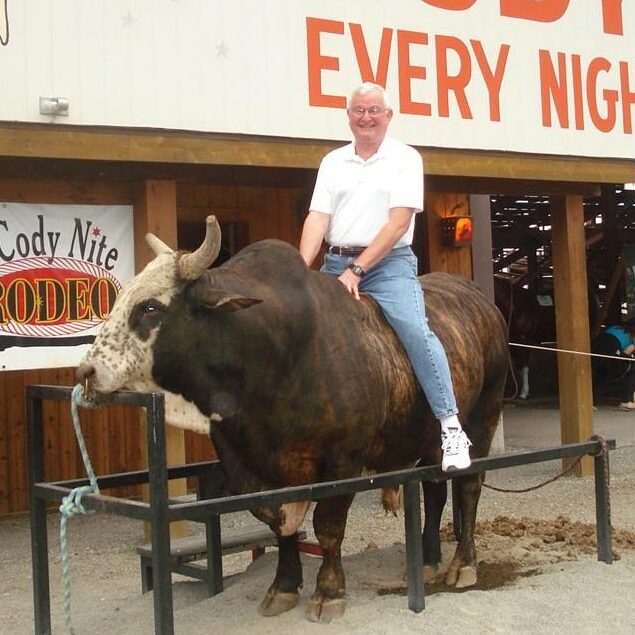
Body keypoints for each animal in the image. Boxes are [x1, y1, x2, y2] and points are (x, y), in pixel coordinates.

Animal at [78, 216, 506, 624]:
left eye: (150, 307)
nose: (86, 371)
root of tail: (478, 298)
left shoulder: (343, 461)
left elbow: (328, 526)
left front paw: (329, 592)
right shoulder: (251, 465)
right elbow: (279, 522)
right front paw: (283, 587)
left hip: (483, 417)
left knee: (468, 487)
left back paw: (463, 564)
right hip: (426, 438)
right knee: (434, 489)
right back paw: (429, 559)